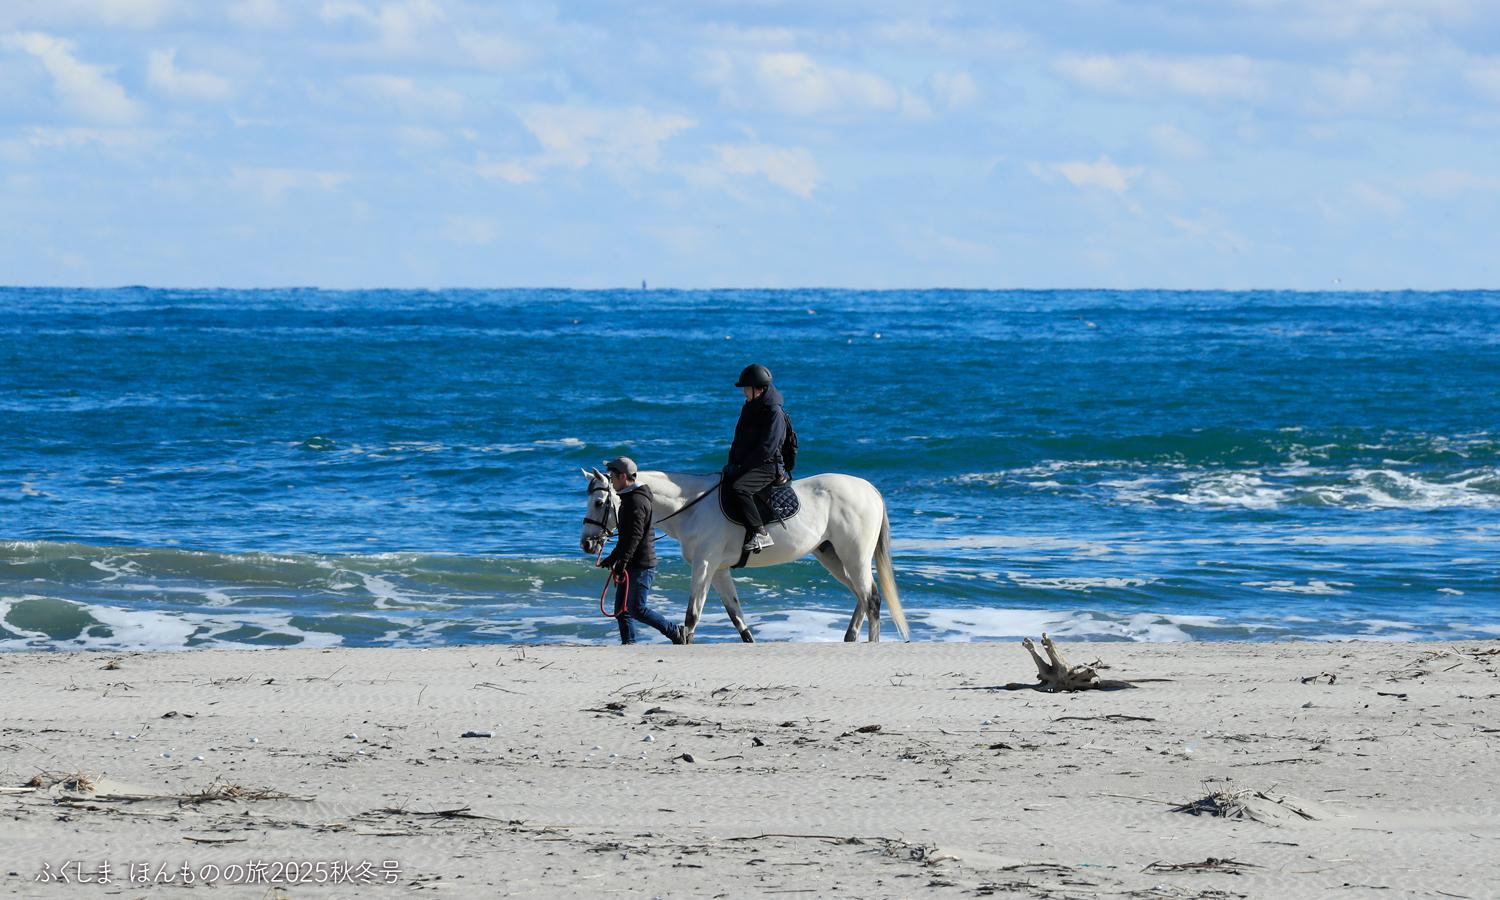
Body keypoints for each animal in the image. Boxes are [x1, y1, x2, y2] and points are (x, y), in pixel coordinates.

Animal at [578, 467, 909, 644]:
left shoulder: (705, 565)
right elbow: (736, 616)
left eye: (599, 502)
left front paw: (684, 639)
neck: (691, 507)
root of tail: (869, 489)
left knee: (871, 598)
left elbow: (693, 613)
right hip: (831, 557)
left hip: (854, 557)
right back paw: (850, 638)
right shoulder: (719, 570)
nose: (587, 544)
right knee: (862, 596)